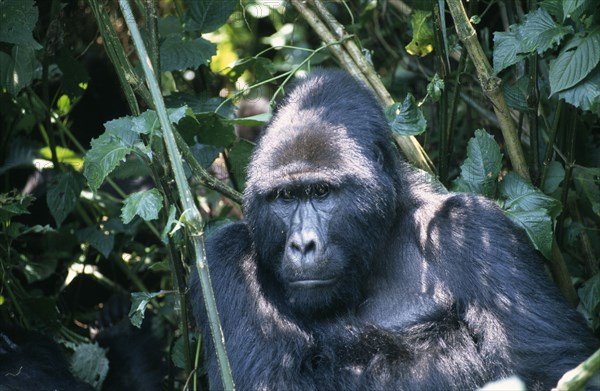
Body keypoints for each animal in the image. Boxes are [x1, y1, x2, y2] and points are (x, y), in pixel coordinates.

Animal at [190, 69, 596, 390]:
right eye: (285, 197)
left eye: (321, 192)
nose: (303, 245)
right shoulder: (225, 258)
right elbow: (265, 381)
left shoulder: (475, 226)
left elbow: (553, 367)